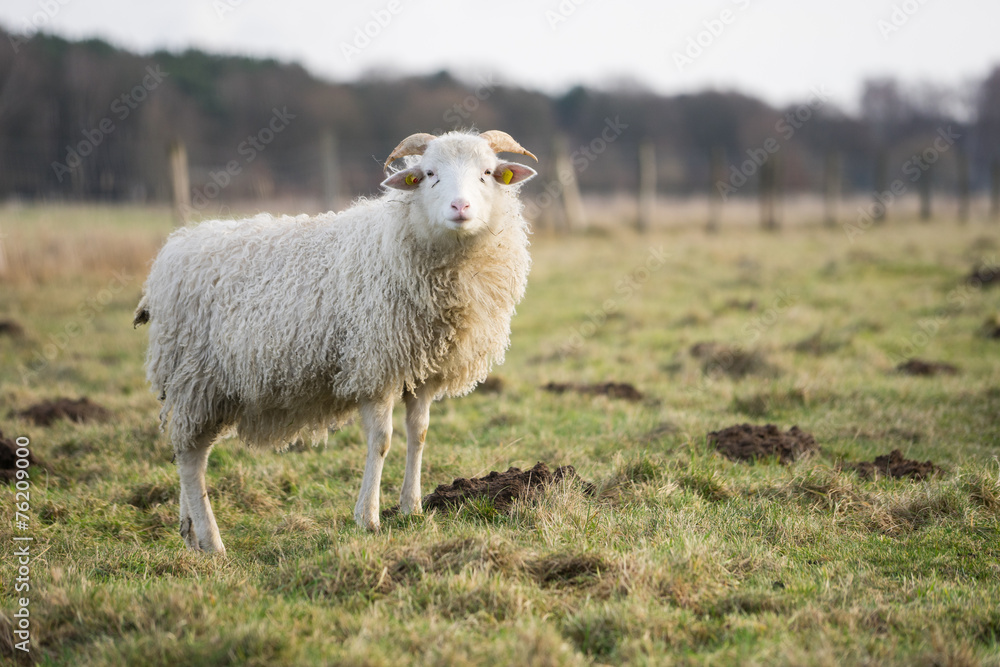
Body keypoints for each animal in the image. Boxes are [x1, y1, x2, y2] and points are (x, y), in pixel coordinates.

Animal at [136, 130, 540, 552]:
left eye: (487, 173)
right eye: (430, 173)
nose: (460, 206)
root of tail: (172, 251)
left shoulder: (423, 369)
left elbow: (419, 434)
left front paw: (411, 508)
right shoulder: (375, 365)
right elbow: (382, 441)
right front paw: (368, 518)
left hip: (201, 386)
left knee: (190, 452)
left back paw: (190, 533)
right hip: (196, 377)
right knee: (190, 456)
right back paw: (212, 542)